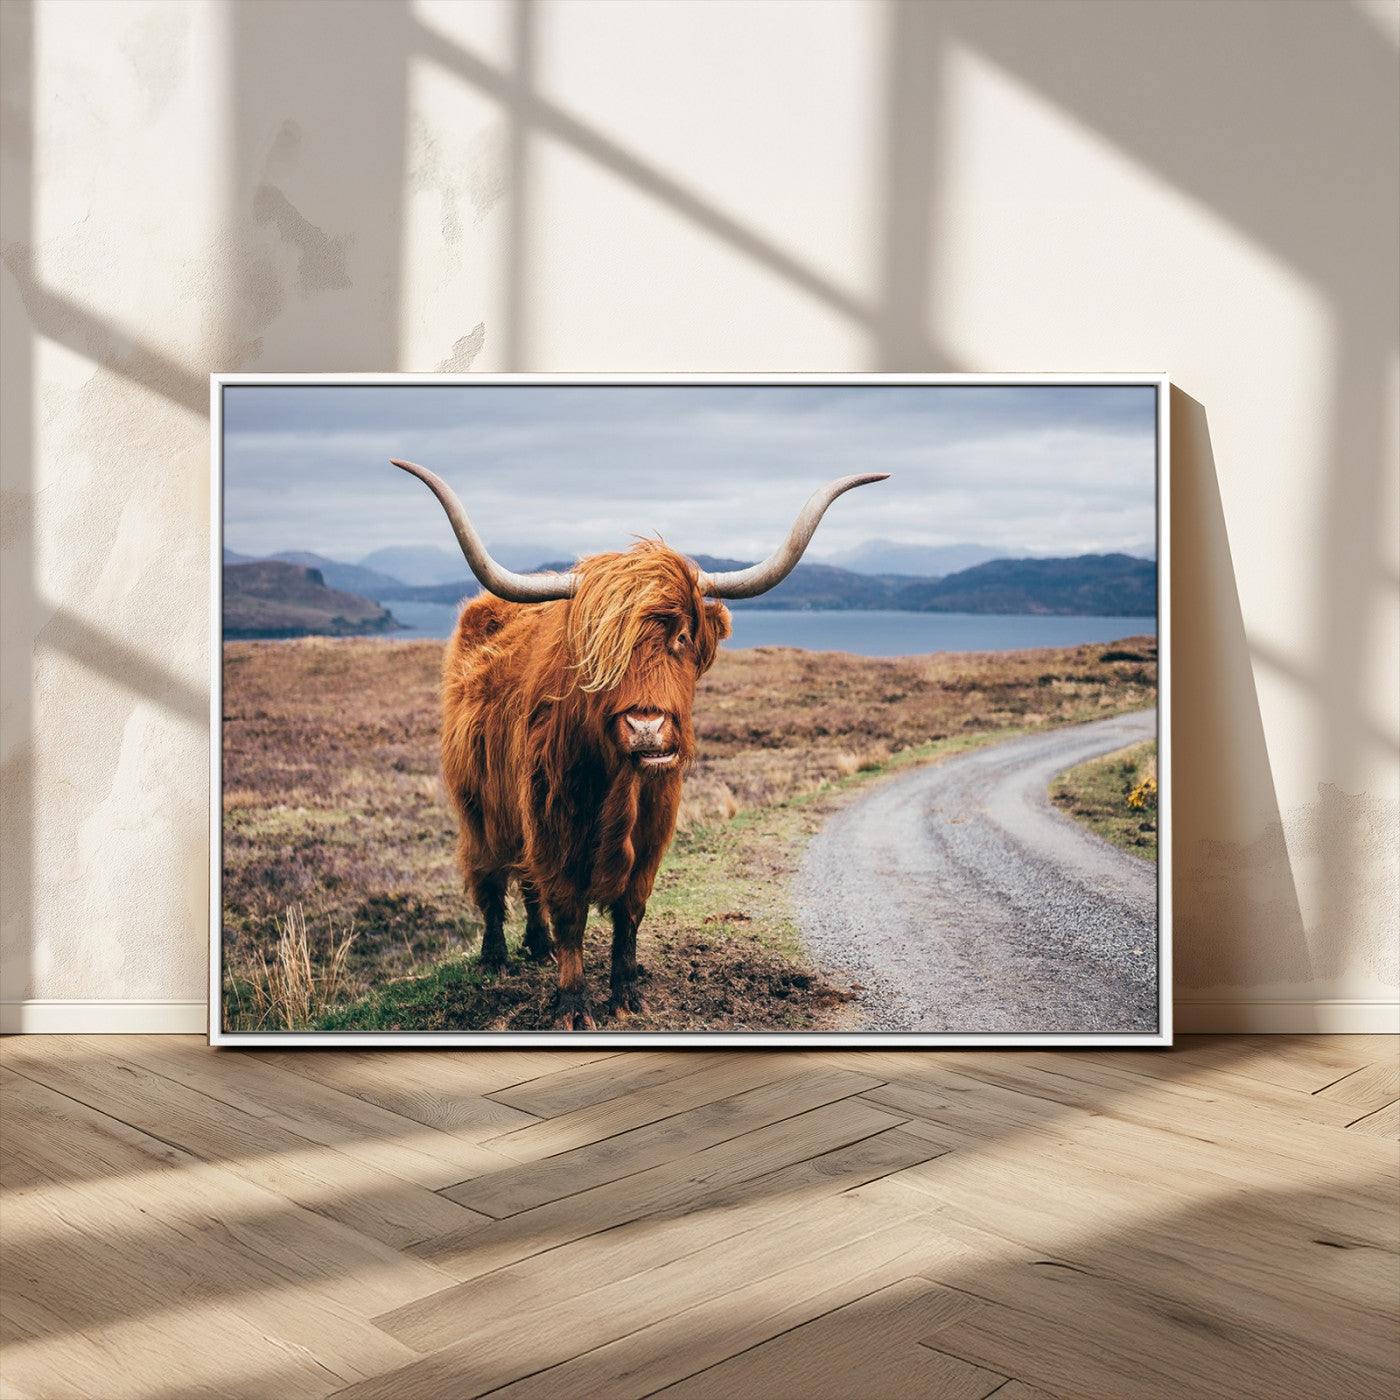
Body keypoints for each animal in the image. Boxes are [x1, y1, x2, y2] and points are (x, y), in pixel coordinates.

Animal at [393, 459, 887, 1029]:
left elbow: (629, 913)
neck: (618, 787)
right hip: (478, 804)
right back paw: (495, 958)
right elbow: (569, 914)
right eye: (600, 647)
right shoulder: (553, 826)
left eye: (681, 637)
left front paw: (627, 993)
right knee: (491, 877)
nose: (646, 727)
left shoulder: (652, 832)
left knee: (527, 884)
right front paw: (572, 1005)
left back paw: (536, 947)